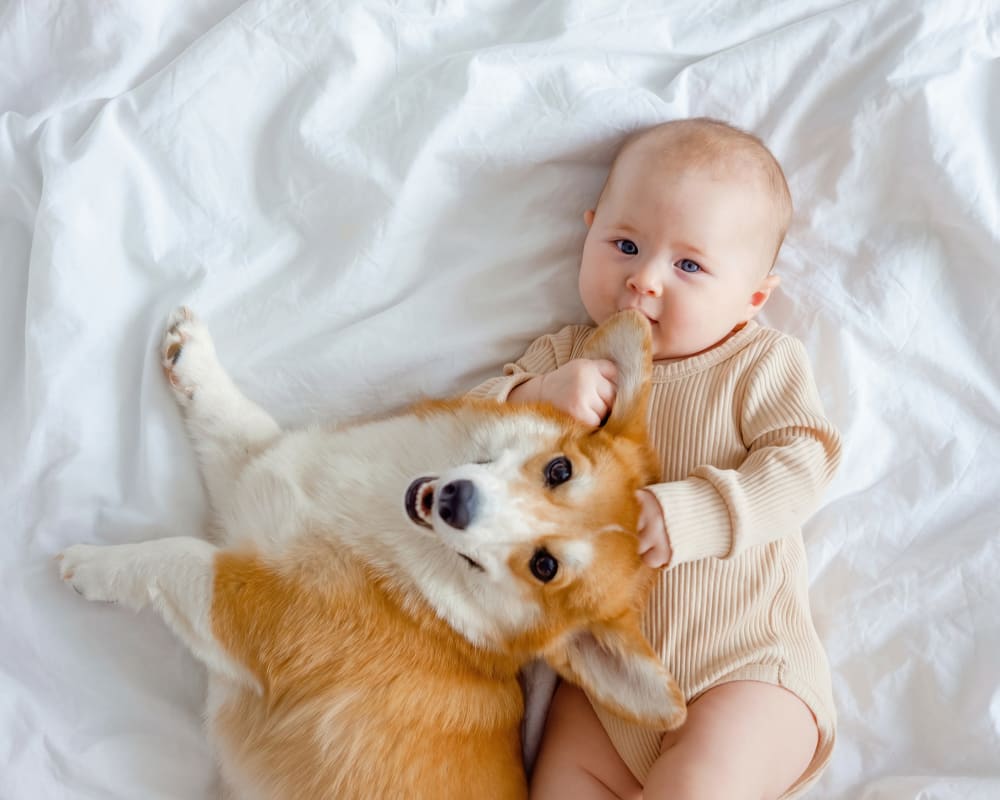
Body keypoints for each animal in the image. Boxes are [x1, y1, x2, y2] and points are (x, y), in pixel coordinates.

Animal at [58, 308, 688, 800]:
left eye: (544, 566)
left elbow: (178, 558)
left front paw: (91, 566)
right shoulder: (259, 473)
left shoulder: (252, 613)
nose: (456, 503)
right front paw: (190, 355)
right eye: (560, 470)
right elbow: (234, 420)